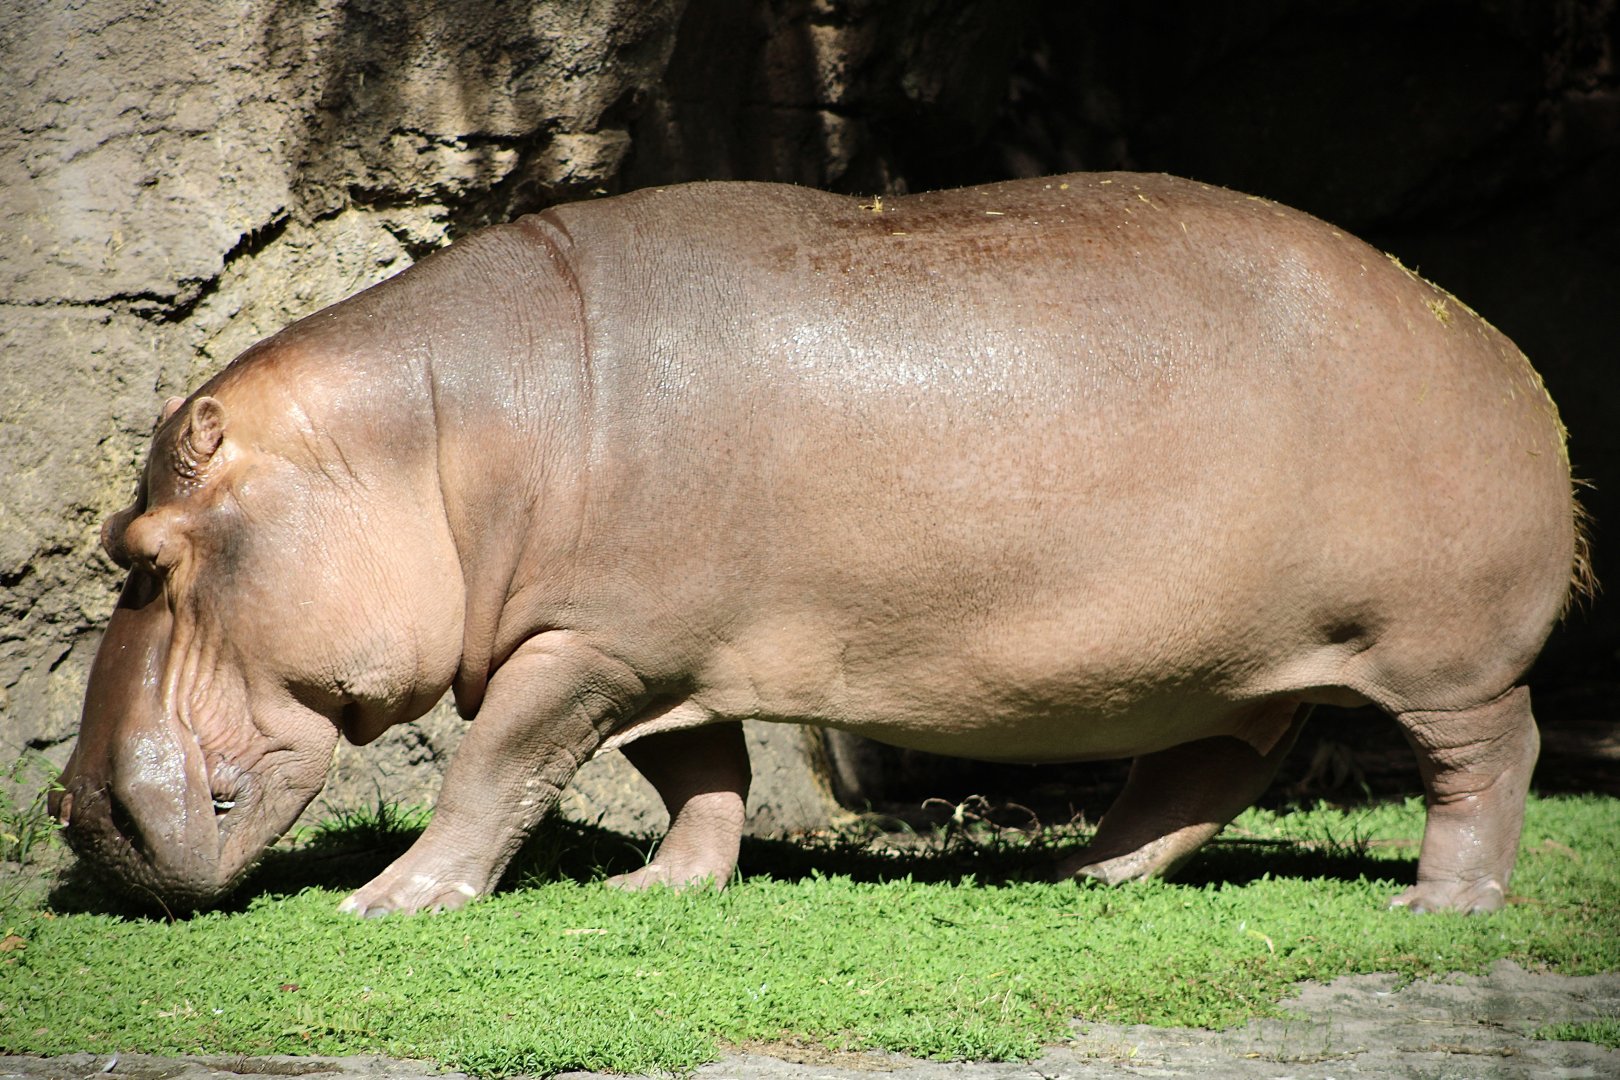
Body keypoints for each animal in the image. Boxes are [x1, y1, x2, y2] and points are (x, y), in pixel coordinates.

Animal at [51, 173, 1589, 916]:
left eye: (146, 551)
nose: (67, 809)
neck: (430, 439)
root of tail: (1512, 357)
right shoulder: (656, 651)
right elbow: (696, 776)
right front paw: (657, 888)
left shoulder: (587, 644)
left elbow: (492, 771)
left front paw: (391, 906)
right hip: (1230, 662)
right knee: (1207, 772)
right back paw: (1080, 877)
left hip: (1439, 657)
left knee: (1488, 761)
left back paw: (1443, 910)